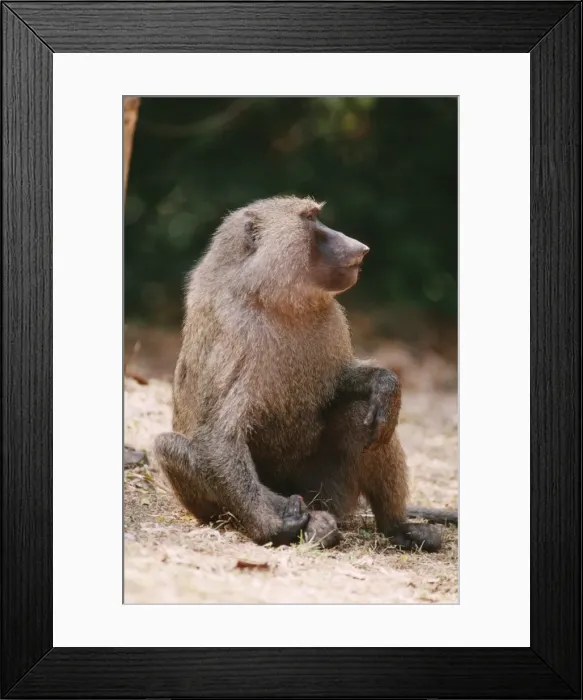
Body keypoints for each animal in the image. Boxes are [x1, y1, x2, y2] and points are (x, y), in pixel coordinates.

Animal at [153, 195, 457, 551]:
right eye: (311, 220)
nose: (361, 248)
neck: (270, 296)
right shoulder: (235, 331)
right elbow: (218, 436)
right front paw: (271, 526)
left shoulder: (331, 319)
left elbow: (342, 385)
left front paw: (386, 386)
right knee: (168, 446)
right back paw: (308, 525)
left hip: (329, 492)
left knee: (367, 417)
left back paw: (397, 527)